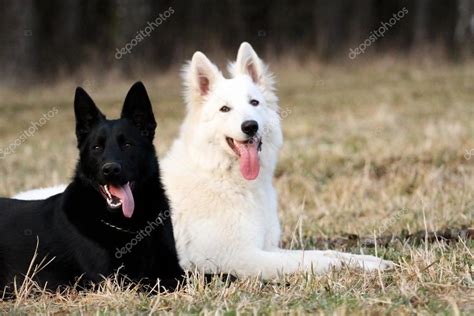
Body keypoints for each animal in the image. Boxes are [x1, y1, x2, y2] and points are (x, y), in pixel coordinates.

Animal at [0, 82, 183, 294]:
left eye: (128, 145)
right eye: (97, 147)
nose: (110, 170)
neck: (131, 226)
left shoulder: (172, 267)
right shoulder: (116, 282)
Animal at [14, 42, 392, 278]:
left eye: (254, 103)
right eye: (225, 109)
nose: (250, 126)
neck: (225, 178)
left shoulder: (264, 247)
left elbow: (325, 254)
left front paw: (371, 262)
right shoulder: (242, 258)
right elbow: (313, 263)